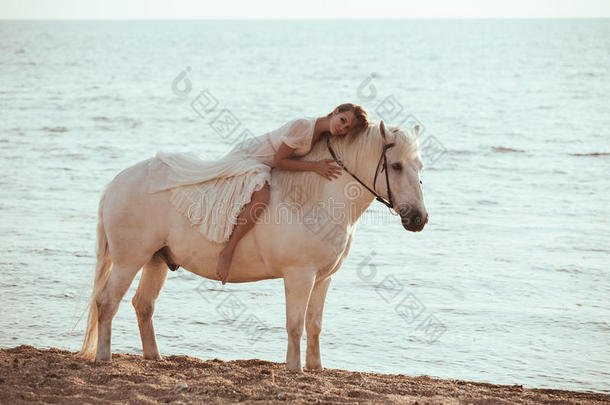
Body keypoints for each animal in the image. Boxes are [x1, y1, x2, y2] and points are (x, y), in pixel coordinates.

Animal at [77, 120, 428, 370]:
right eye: (396, 166)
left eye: (420, 167)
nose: (419, 219)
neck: (318, 198)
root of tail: (116, 183)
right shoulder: (299, 276)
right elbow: (295, 325)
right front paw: (294, 369)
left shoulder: (323, 278)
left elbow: (314, 324)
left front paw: (315, 368)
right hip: (129, 260)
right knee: (107, 301)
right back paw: (104, 358)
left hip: (156, 260)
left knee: (143, 305)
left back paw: (155, 358)